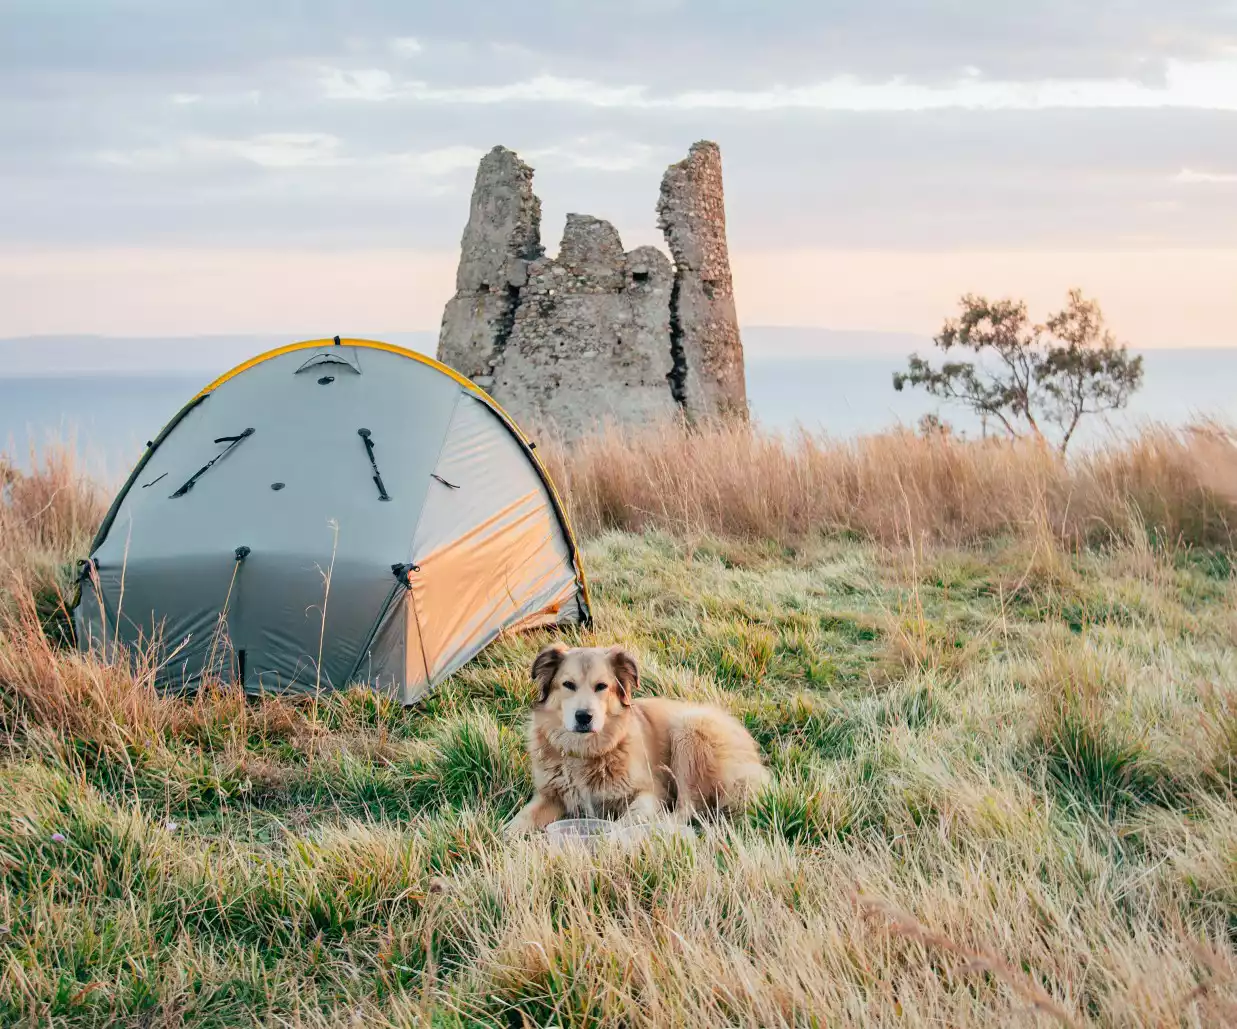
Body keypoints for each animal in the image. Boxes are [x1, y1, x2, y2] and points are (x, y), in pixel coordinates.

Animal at [507, 643, 766, 836]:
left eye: (602, 686)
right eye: (568, 685)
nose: (584, 717)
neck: (585, 751)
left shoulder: (651, 792)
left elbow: (626, 820)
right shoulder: (548, 797)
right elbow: (518, 822)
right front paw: (505, 840)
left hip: (689, 730)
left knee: (687, 809)